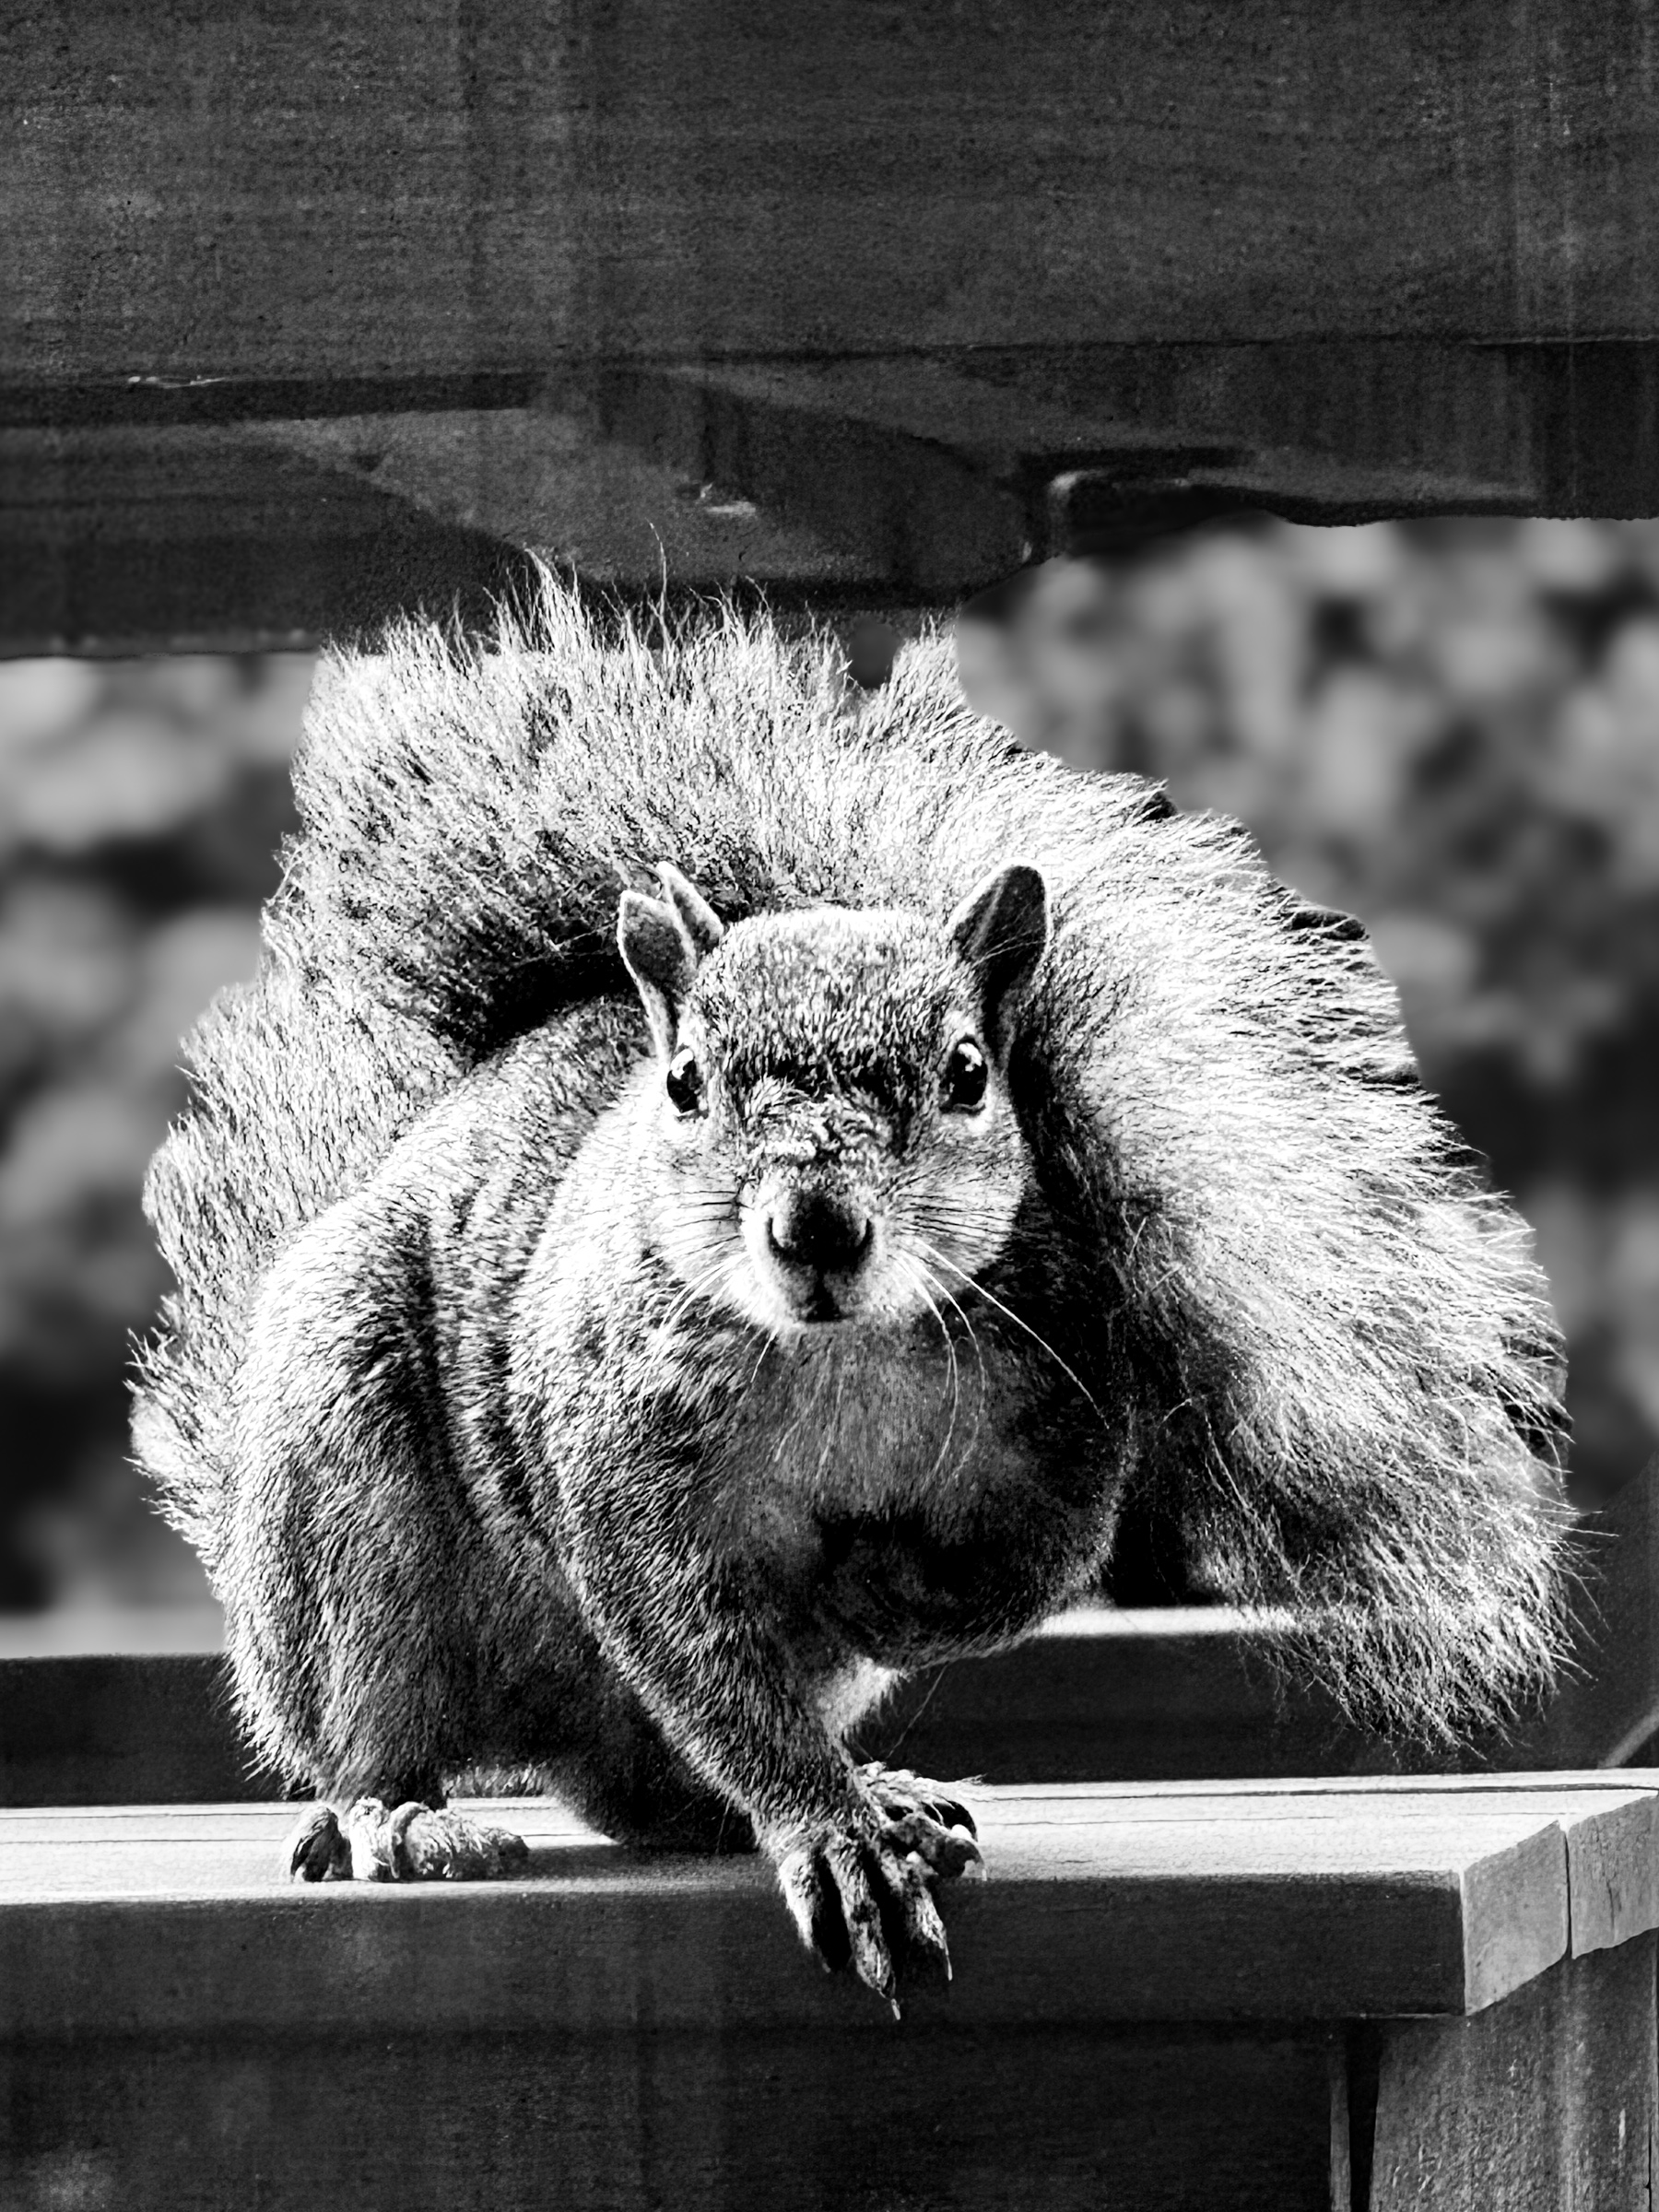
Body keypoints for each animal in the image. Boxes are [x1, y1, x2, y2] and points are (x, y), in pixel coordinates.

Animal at [134, 574, 1575, 2005]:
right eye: (684, 1085)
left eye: (966, 1074)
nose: (815, 1225)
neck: (840, 1360)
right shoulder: (621, 1471)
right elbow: (707, 1662)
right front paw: (831, 1835)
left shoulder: (1071, 1416)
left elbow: (1021, 1581)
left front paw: (879, 1595)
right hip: (345, 1499)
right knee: (381, 1725)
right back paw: (403, 1813)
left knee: (656, 1788)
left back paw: (862, 1786)